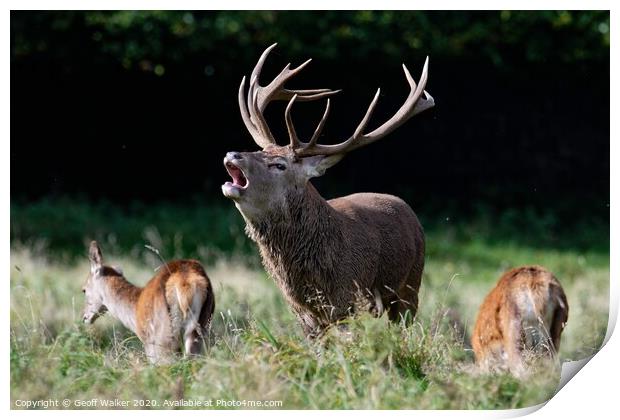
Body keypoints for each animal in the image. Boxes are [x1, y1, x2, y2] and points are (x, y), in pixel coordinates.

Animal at [81, 241, 216, 362]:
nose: (84, 317)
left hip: (163, 336)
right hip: (203, 326)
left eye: (83, 290)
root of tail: (186, 280)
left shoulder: (148, 341)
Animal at [220, 43, 434, 338]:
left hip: (411, 284)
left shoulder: (348, 301)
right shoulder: (303, 314)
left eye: (279, 165)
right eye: (260, 150)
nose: (233, 154)